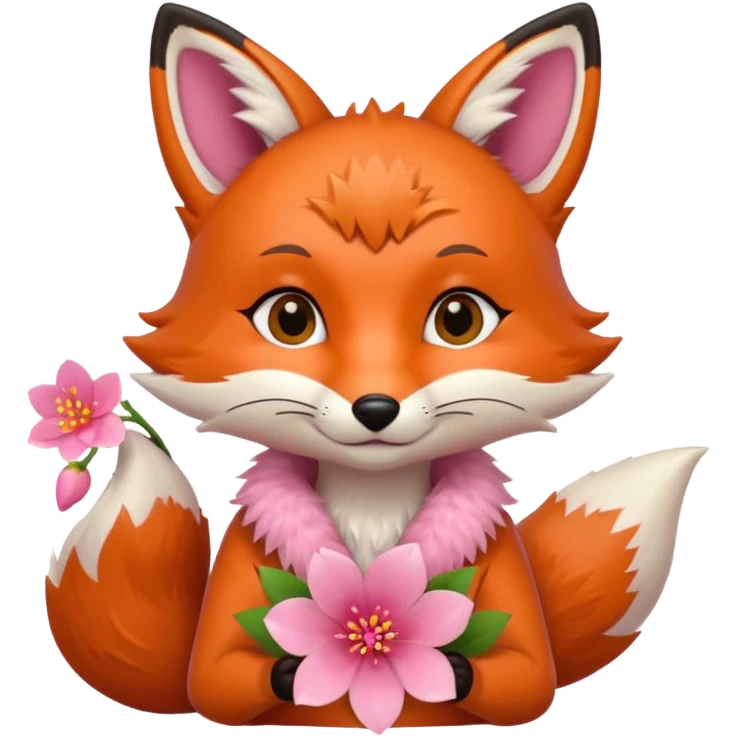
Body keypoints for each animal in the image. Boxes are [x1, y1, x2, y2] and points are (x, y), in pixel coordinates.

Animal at [44, 1, 707, 731]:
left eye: (458, 319)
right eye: (290, 319)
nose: (375, 409)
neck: (371, 507)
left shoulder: (501, 568)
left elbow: (525, 676)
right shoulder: (245, 567)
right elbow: (217, 678)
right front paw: (299, 668)